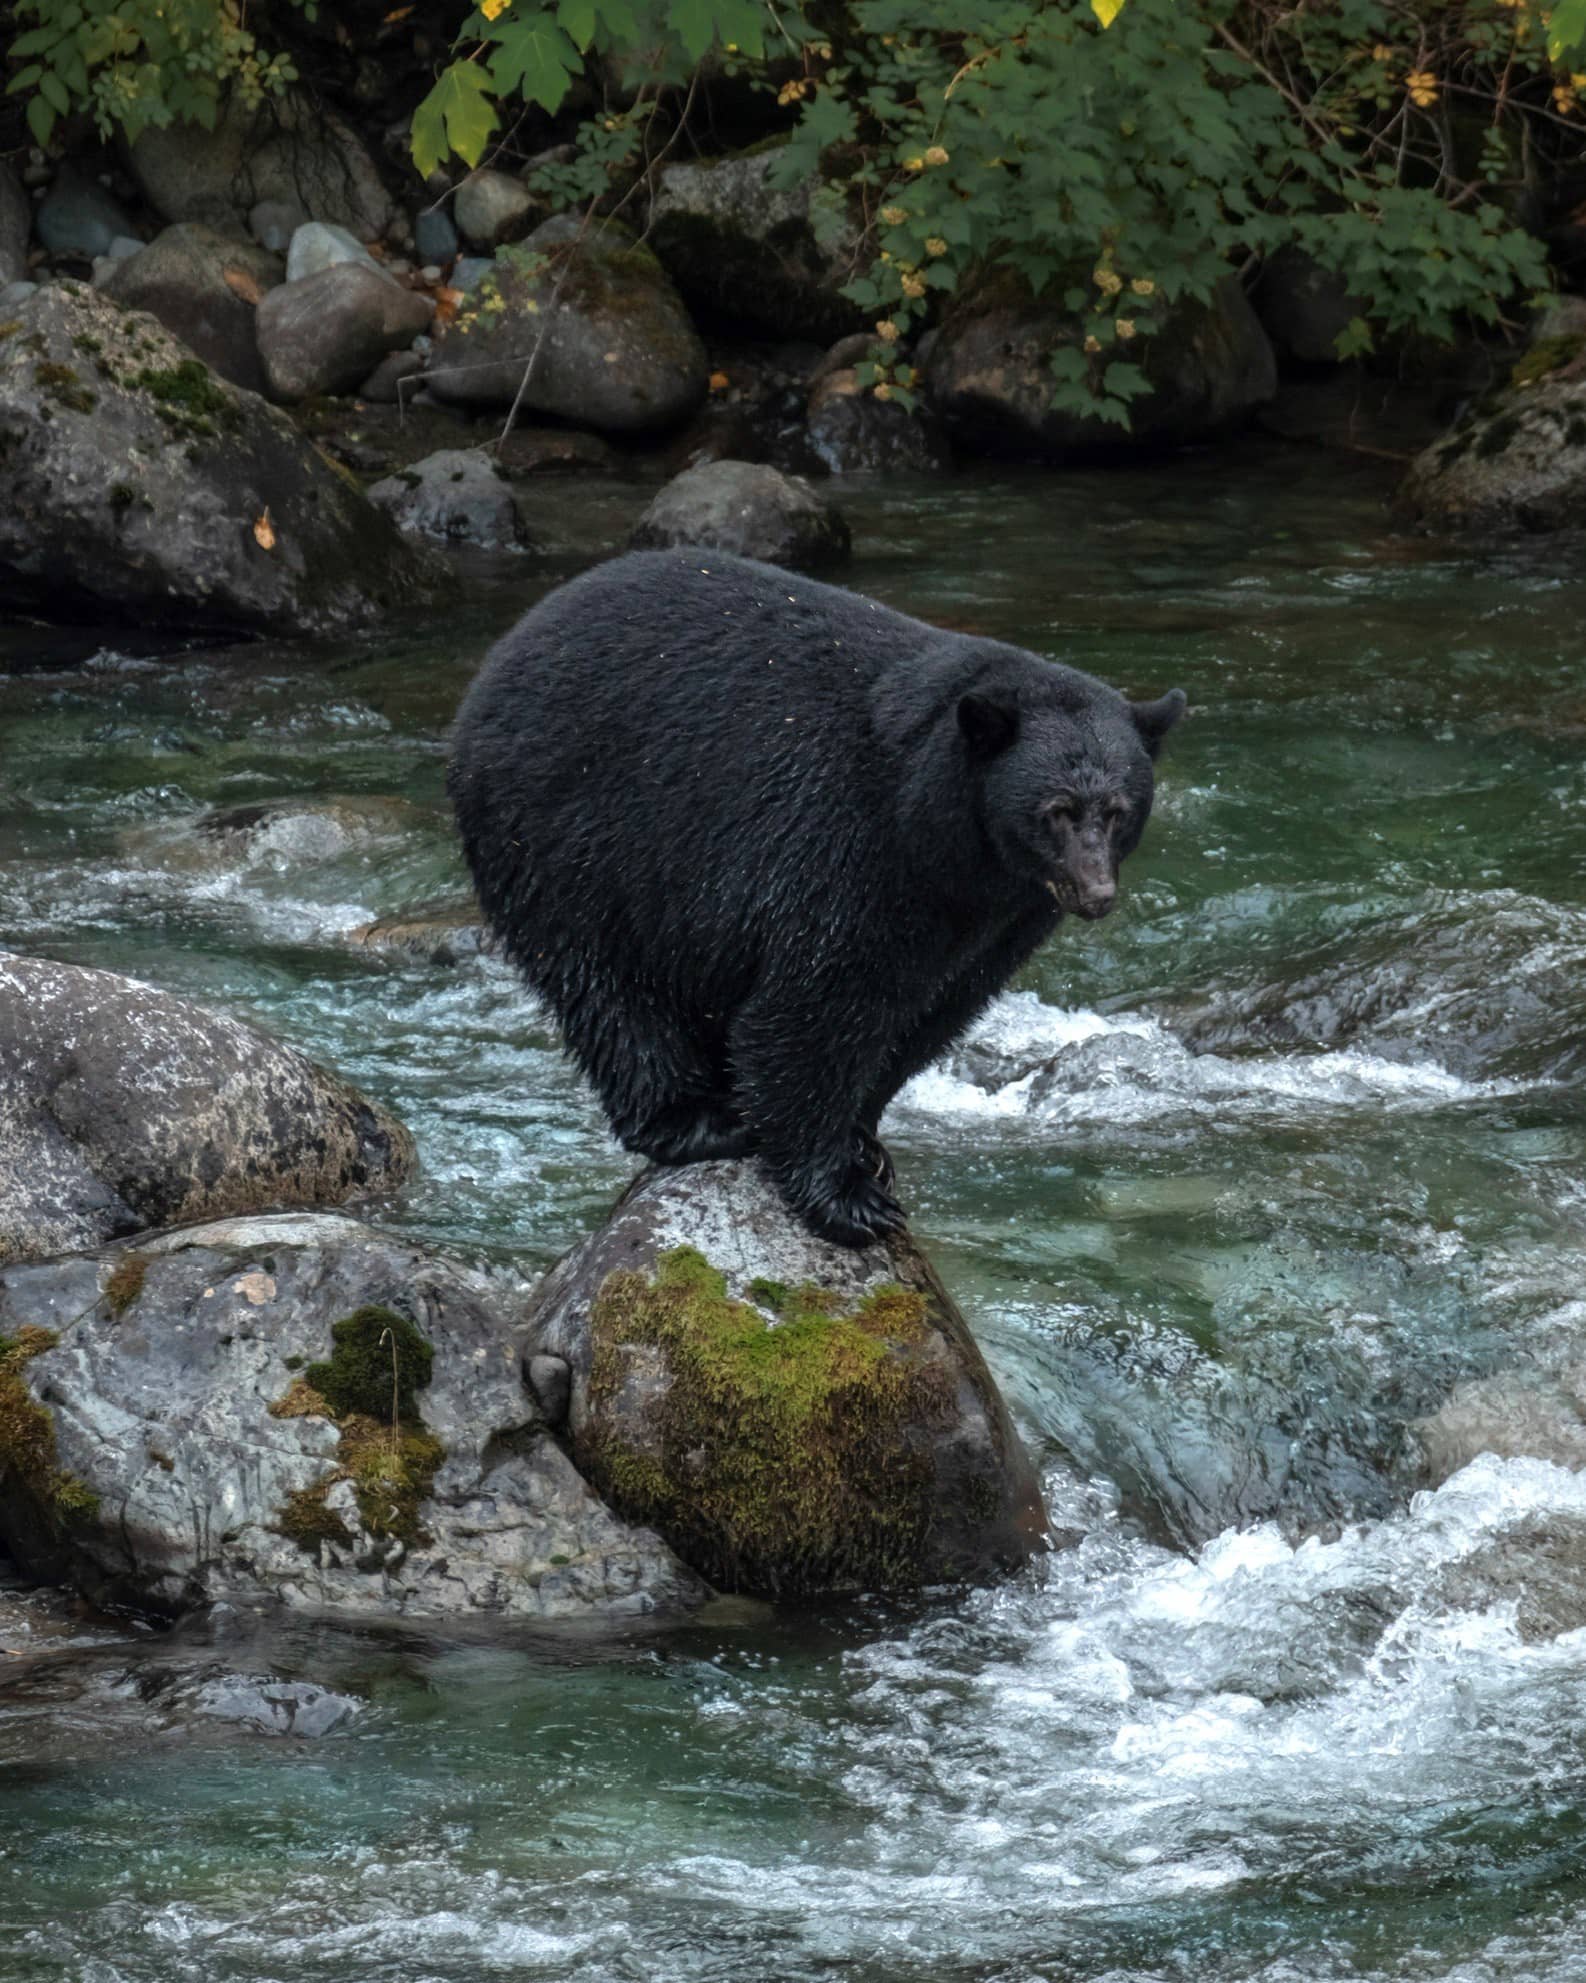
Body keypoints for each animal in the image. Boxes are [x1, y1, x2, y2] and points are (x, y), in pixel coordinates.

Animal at [452, 551, 1181, 1245]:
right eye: (1056, 810)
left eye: (1119, 809)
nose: (1095, 892)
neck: (942, 838)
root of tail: (495, 665)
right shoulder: (845, 843)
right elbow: (813, 1009)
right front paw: (846, 1196)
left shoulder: (1003, 917)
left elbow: (935, 1009)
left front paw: (865, 1142)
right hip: (565, 833)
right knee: (609, 986)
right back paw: (696, 1119)